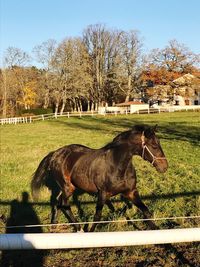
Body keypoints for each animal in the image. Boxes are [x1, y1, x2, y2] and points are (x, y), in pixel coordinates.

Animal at [31, 125, 168, 232]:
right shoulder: (102, 193)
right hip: (68, 187)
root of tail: (54, 154)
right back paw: (78, 228)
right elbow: (97, 216)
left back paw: (54, 225)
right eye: (154, 145)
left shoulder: (131, 192)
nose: (164, 167)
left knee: (57, 202)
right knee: (63, 204)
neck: (116, 166)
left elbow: (146, 212)